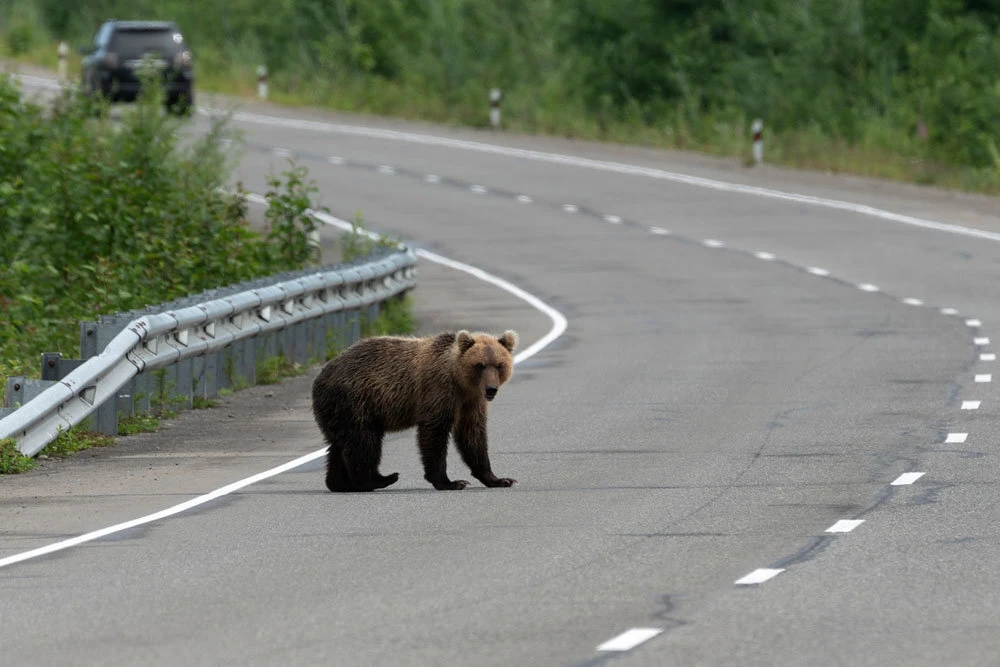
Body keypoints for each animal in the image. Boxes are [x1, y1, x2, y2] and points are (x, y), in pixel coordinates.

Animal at [311, 329, 519, 492]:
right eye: (480, 365)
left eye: (499, 365)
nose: (491, 389)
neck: (461, 382)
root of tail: (319, 378)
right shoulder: (439, 390)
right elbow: (434, 432)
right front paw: (450, 482)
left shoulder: (471, 402)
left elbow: (473, 435)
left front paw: (500, 479)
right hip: (354, 401)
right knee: (363, 441)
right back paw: (378, 480)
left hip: (338, 411)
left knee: (340, 445)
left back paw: (339, 483)